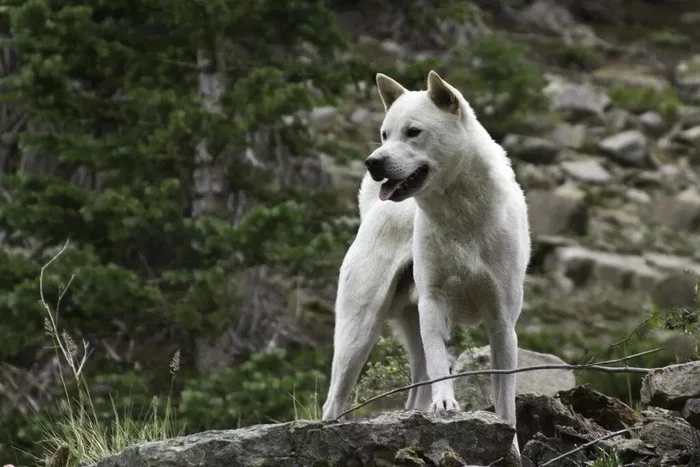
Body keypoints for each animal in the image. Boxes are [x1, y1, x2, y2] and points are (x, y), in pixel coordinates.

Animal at [322, 68, 532, 450]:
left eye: (413, 132)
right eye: (385, 134)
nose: (373, 162)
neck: (461, 219)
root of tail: (372, 210)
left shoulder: (502, 322)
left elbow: (506, 401)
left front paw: (511, 446)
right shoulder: (434, 302)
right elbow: (439, 364)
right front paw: (446, 404)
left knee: (415, 390)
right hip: (358, 332)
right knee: (334, 400)